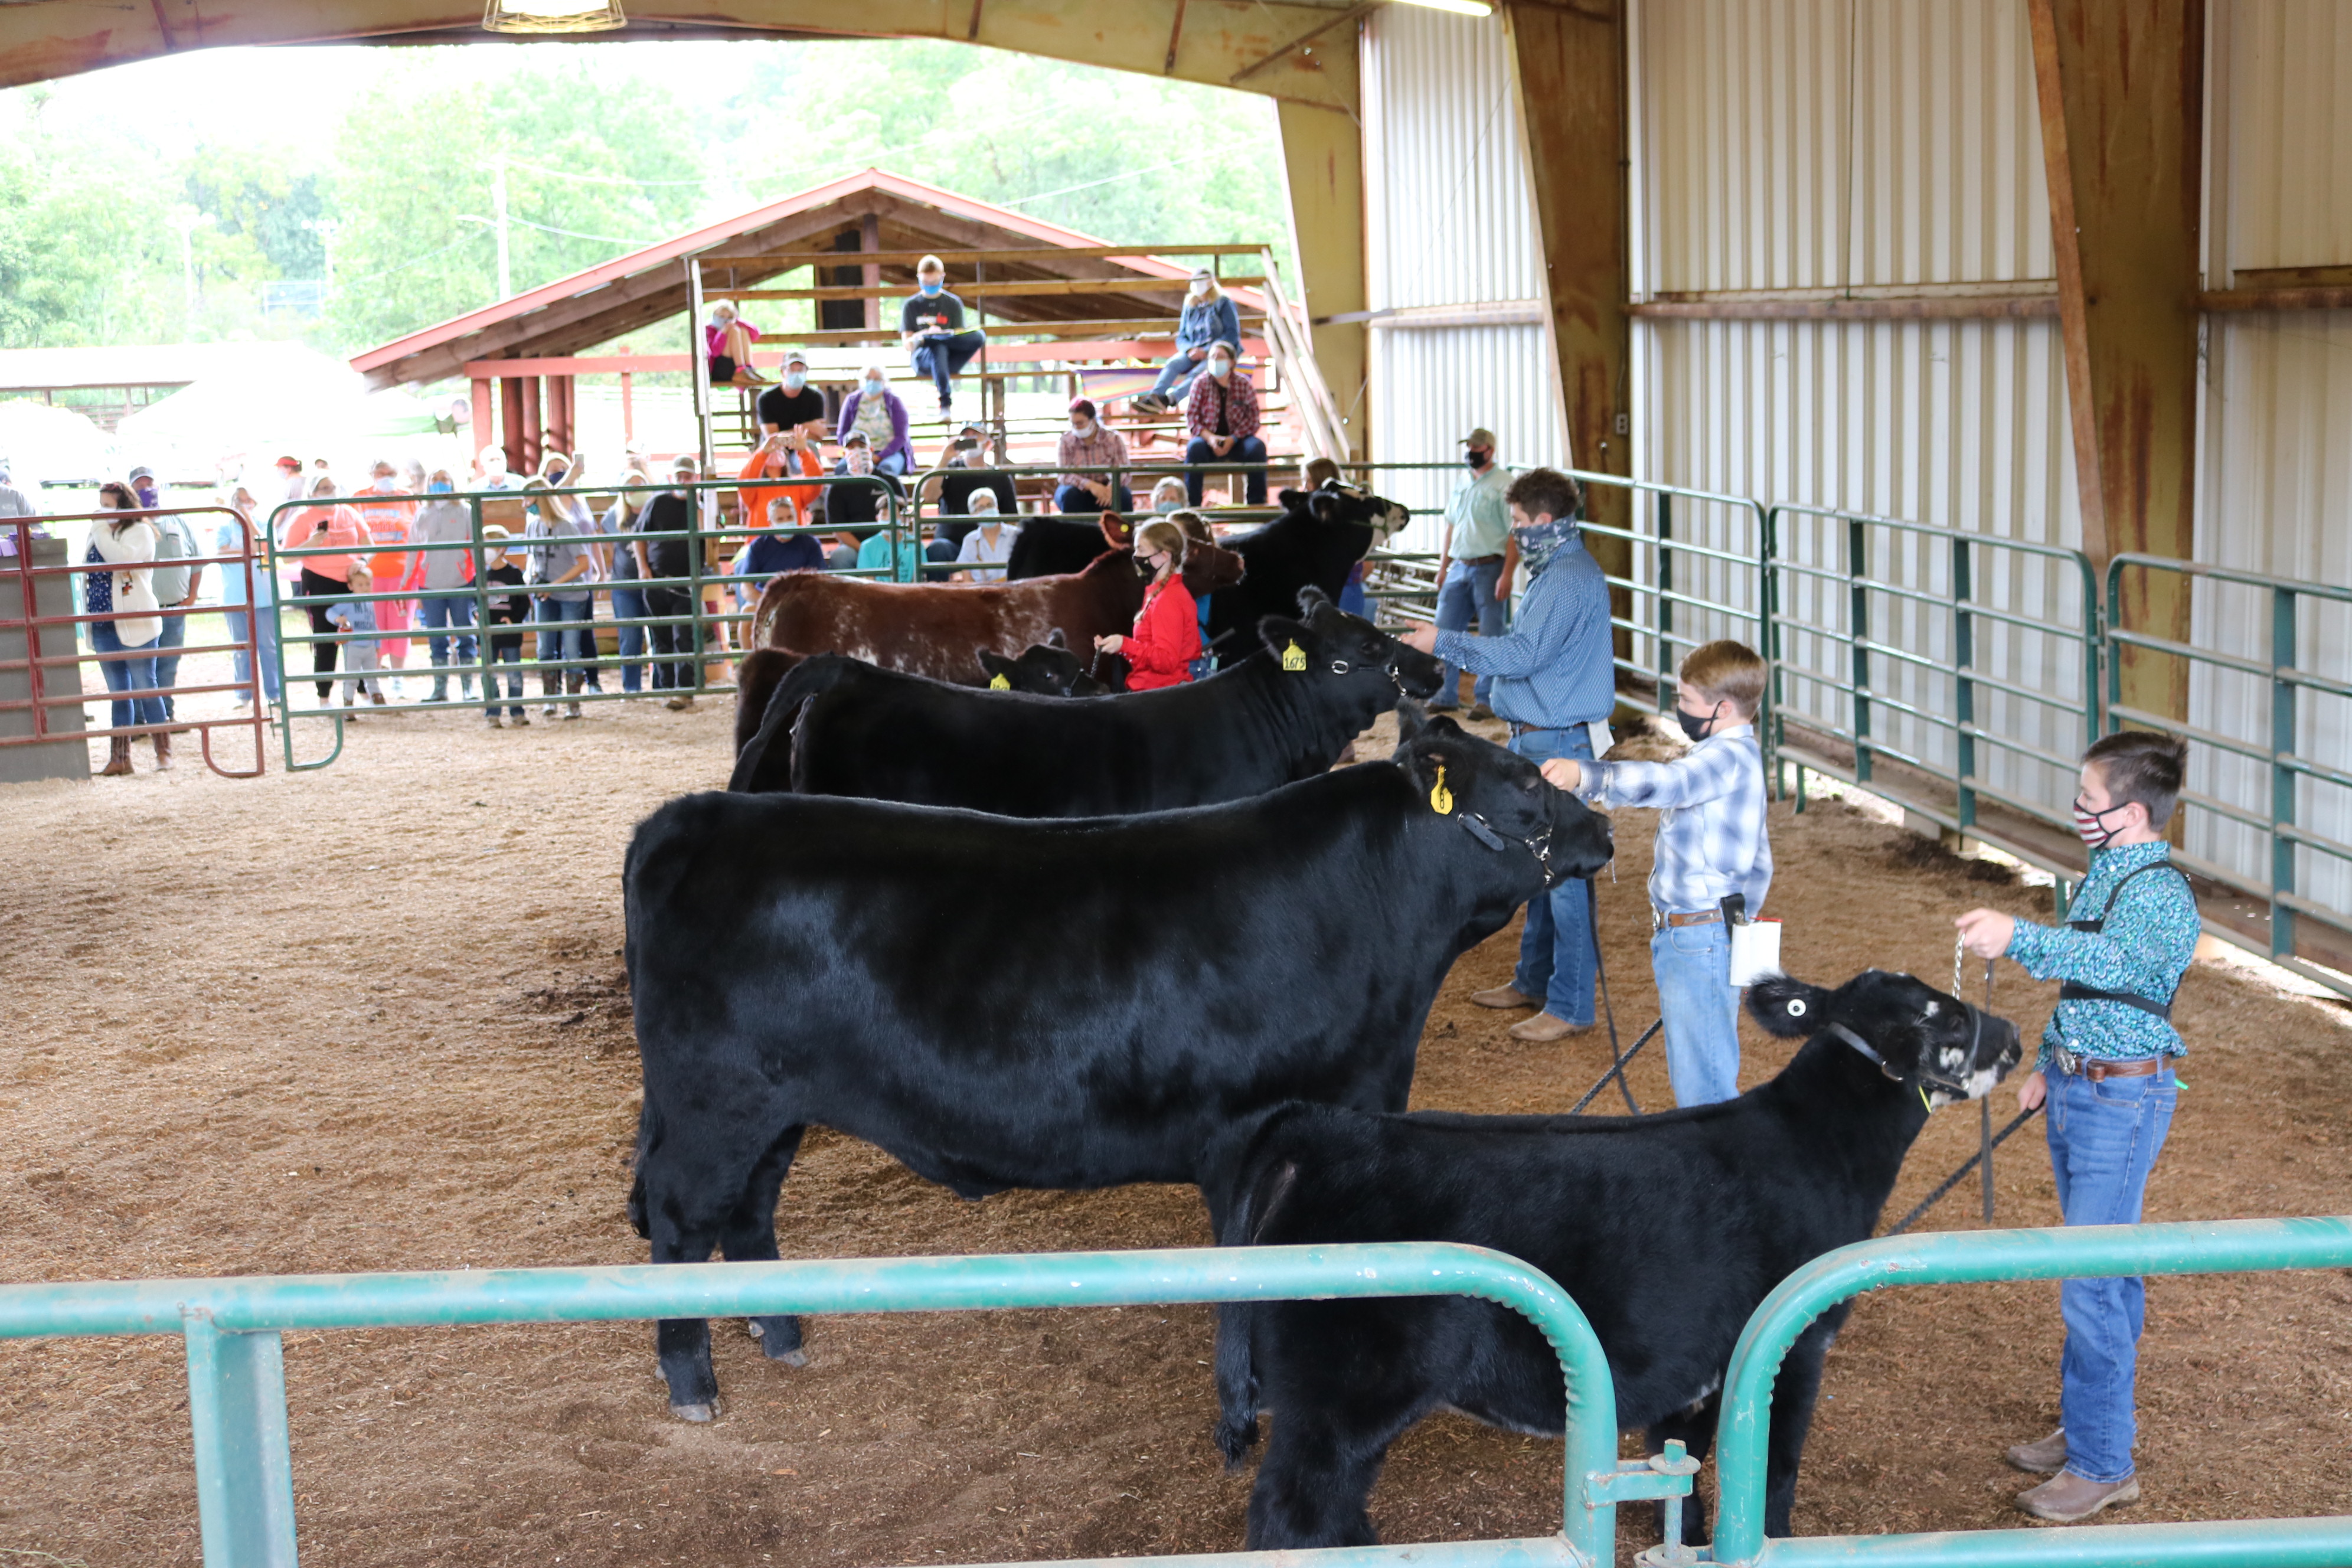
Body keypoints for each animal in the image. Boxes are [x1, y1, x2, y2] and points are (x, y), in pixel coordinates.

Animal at [625, 710, 1618, 1420]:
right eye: (1526, 784)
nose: (1603, 826)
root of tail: (686, 818)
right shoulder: (1255, 1131)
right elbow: (1257, 1265)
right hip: (717, 1102)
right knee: (681, 1217)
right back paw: (693, 1385)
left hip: (775, 1109)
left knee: (748, 1208)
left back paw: (782, 1333)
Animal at [1204, 973, 2032, 1551]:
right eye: (1947, 1015)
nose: (2019, 1036)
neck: (1814, 1145)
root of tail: (1324, 1128)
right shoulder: (1799, 1346)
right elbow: (1775, 1471)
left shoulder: (1702, 1360)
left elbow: (1691, 1459)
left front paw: (1692, 1538)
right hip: (1345, 1393)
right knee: (1295, 1511)